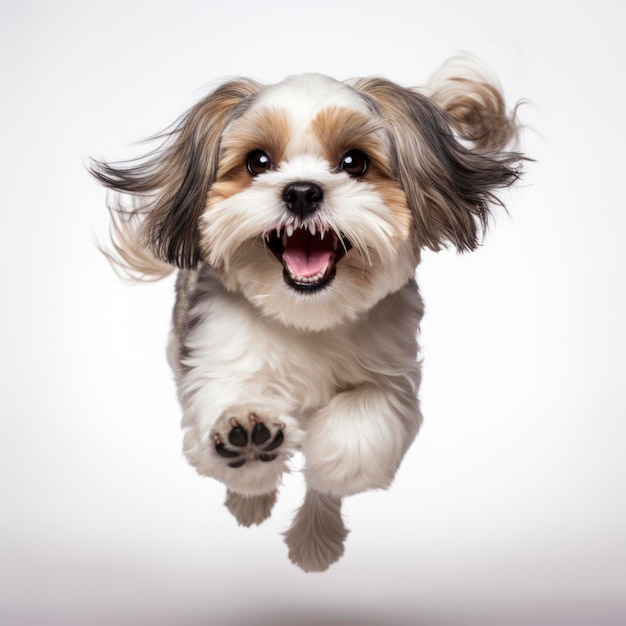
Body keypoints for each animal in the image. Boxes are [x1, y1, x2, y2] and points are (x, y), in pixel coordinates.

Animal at [90, 56, 524, 568]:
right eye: (258, 162)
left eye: (354, 162)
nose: (301, 192)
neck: (307, 315)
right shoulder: (216, 361)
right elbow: (222, 416)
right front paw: (248, 440)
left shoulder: (391, 375)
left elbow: (354, 435)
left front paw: (327, 466)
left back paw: (316, 537)